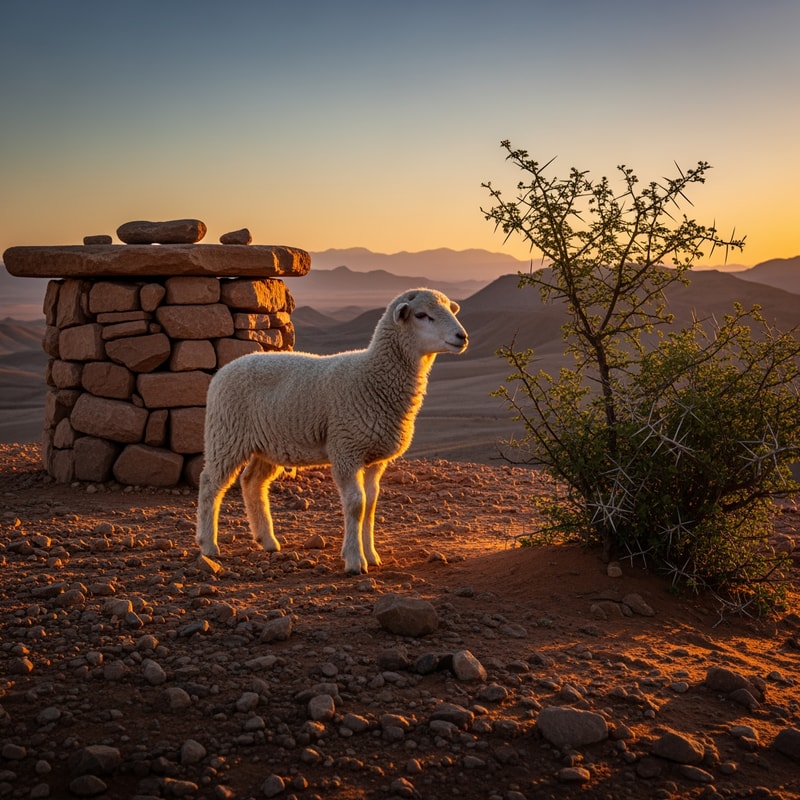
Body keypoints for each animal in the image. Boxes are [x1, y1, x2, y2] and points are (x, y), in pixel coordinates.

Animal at [195, 287, 468, 574]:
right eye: (421, 315)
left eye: (449, 309)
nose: (462, 337)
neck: (373, 376)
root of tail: (225, 369)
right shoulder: (346, 449)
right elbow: (356, 504)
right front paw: (354, 560)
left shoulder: (375, 458)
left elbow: (371, 504)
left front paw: (371, 555)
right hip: (226, 434)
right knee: (210, 483)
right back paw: (208, 545)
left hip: (269, 444)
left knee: (252, 482)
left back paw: (267, 540)